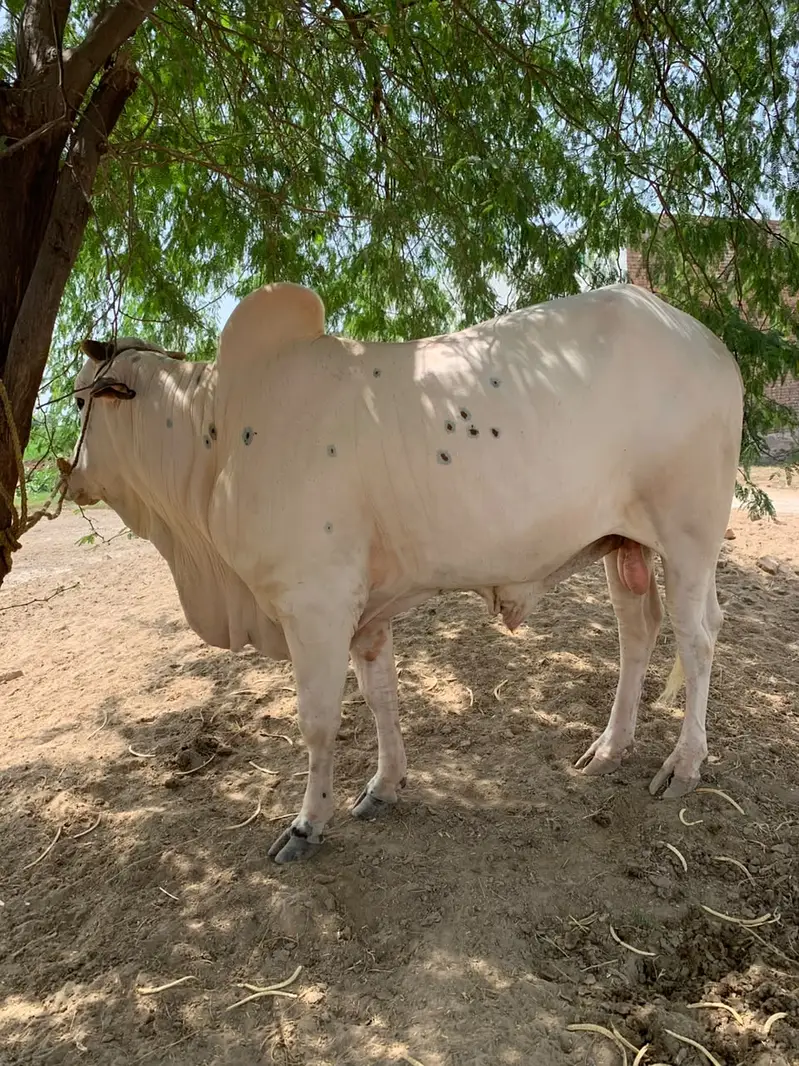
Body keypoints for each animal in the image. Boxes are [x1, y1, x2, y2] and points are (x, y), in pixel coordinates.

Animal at [60, 282, 744, 863]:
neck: (215, 432)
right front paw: (384, 786)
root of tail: (708, 343)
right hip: (623, 544)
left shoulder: (316, 602)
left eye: (83, 397)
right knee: (638, 628)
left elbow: (318, 722)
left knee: (698, 637)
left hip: (689, 536)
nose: (69, 475)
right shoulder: (367, 613)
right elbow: (381, 695)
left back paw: (684, 765)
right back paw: (609, 747)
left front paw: (307, 825)